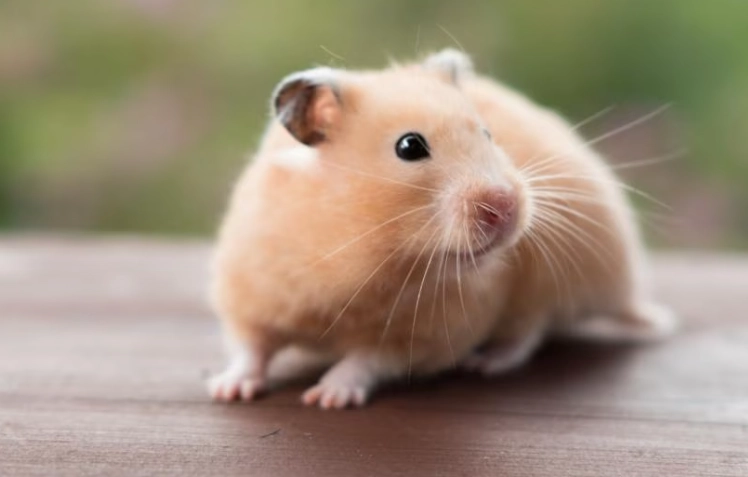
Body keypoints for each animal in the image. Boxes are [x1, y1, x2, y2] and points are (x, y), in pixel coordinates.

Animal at [207, 49, 676, 409]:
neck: (366, 250)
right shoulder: (250, 291)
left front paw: (326, 398)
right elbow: (250, 346)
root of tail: (624, 292)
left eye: (487, 133)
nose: (506, 207)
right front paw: (227, 390)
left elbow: (366, 359)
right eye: (409, 146)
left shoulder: (424, 338)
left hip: (552, 276)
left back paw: (485, 363)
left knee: (530, 330)